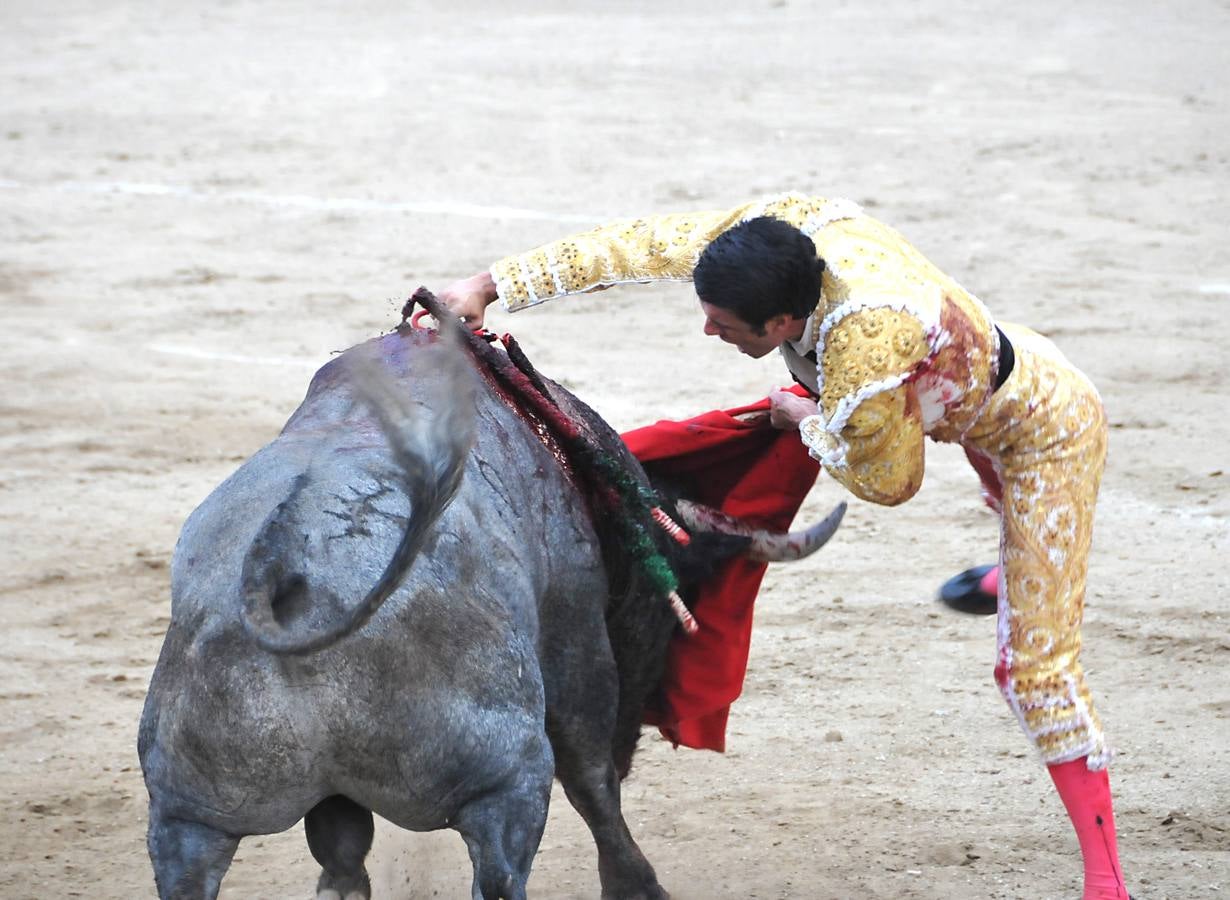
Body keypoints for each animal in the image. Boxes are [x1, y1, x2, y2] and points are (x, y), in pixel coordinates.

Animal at [137, 302, 846, 900]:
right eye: (668, 608)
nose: (643, 728)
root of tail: (284, 566)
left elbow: (341, 848)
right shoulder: (576, 647)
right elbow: (592, 780)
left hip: (185, 817)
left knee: (305, 869)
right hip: (507, 778)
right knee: (517, 858)